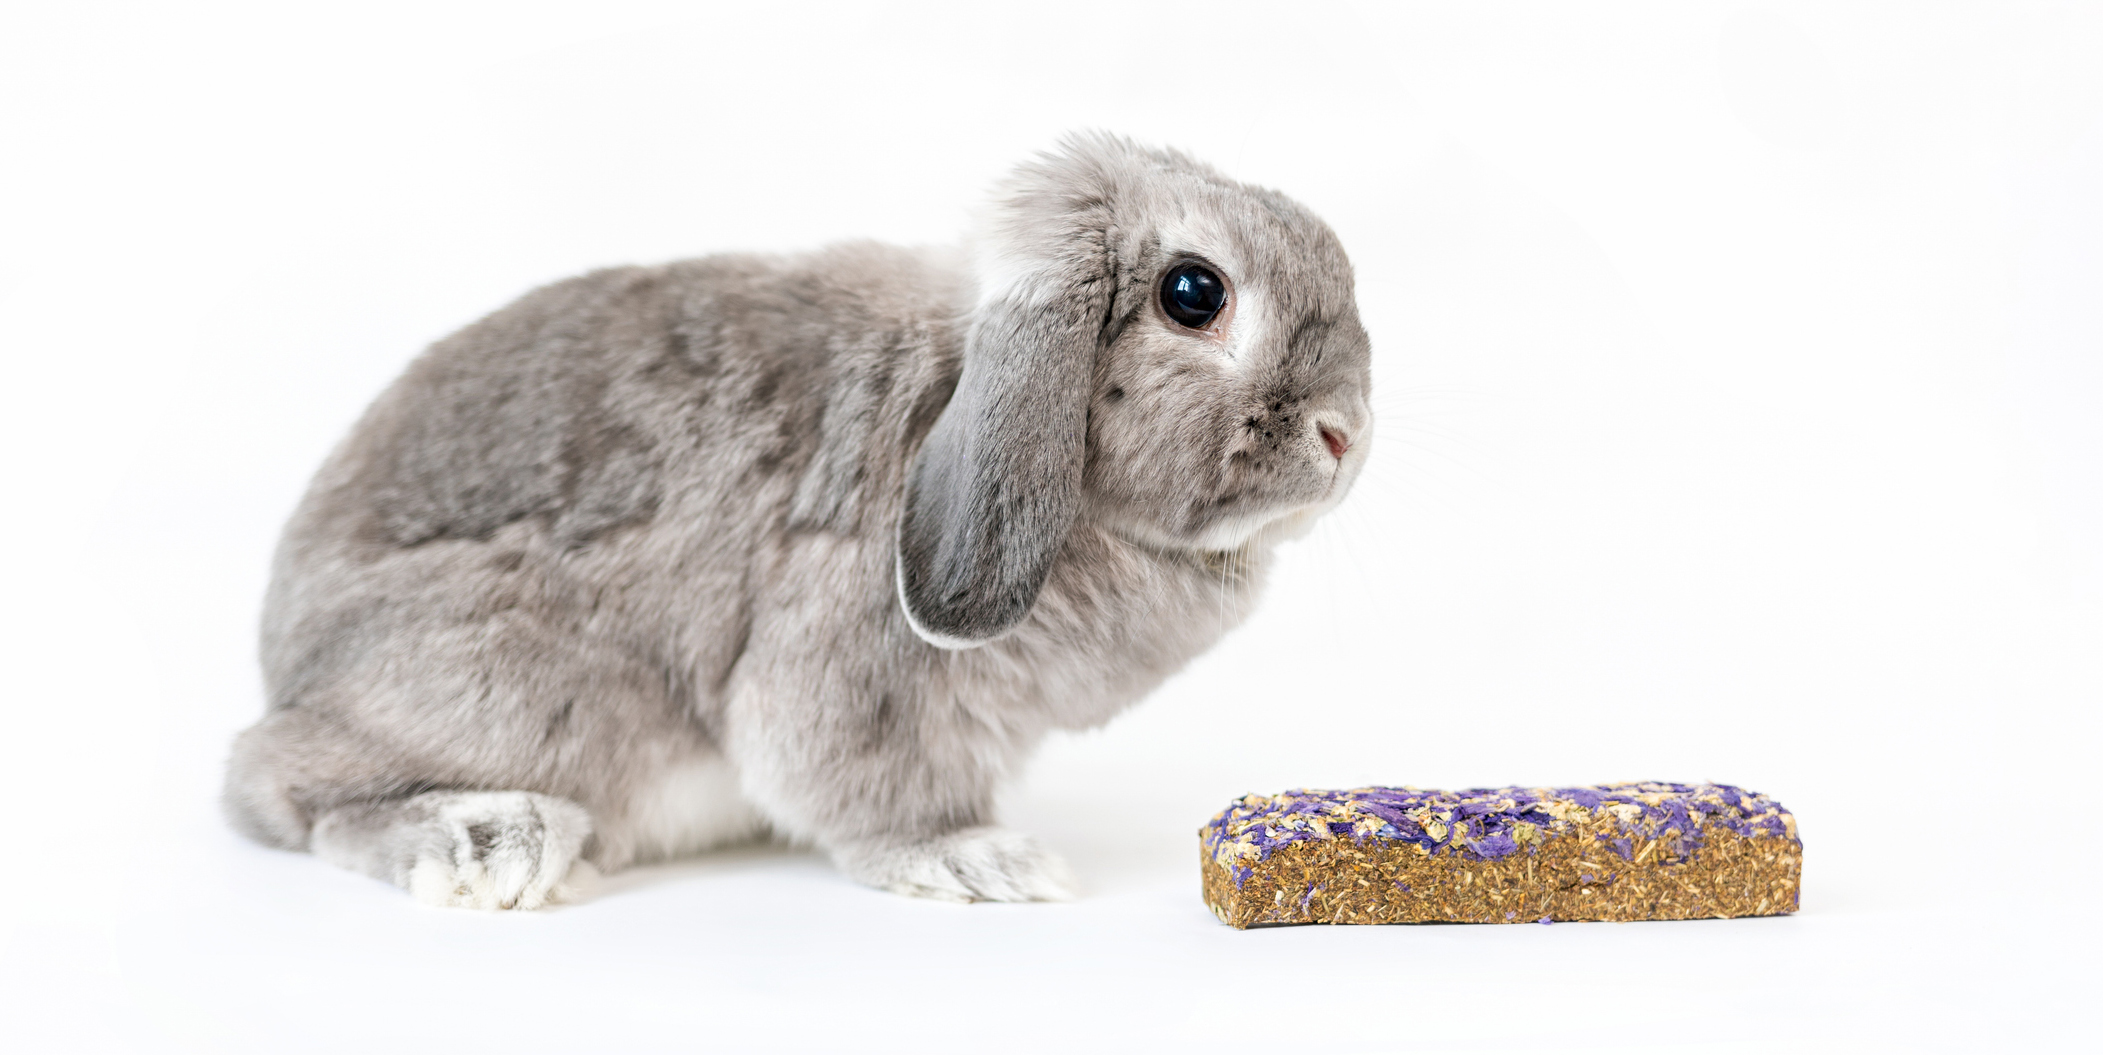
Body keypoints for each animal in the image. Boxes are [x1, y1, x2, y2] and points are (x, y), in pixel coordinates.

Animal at [222, 132, 1373, 909]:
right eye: (1194, 293)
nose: (1345, 435)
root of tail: (286, 659)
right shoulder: (847, 673)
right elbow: (876, 797)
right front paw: (981, 859)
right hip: (517, 687)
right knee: (271, 784)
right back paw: (488, 842)